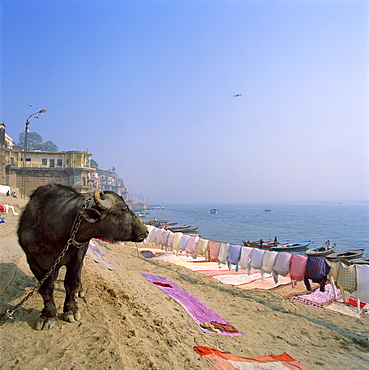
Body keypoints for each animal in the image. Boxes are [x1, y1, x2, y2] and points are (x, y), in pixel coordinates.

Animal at [16, 184, 147, 330]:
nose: (146, 230)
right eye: (124, 209)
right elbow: (46, 288)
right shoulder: (33, 261)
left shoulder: (76, 257)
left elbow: (71, 283)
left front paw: (71, 310)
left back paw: (79, 289)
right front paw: (48, 315)